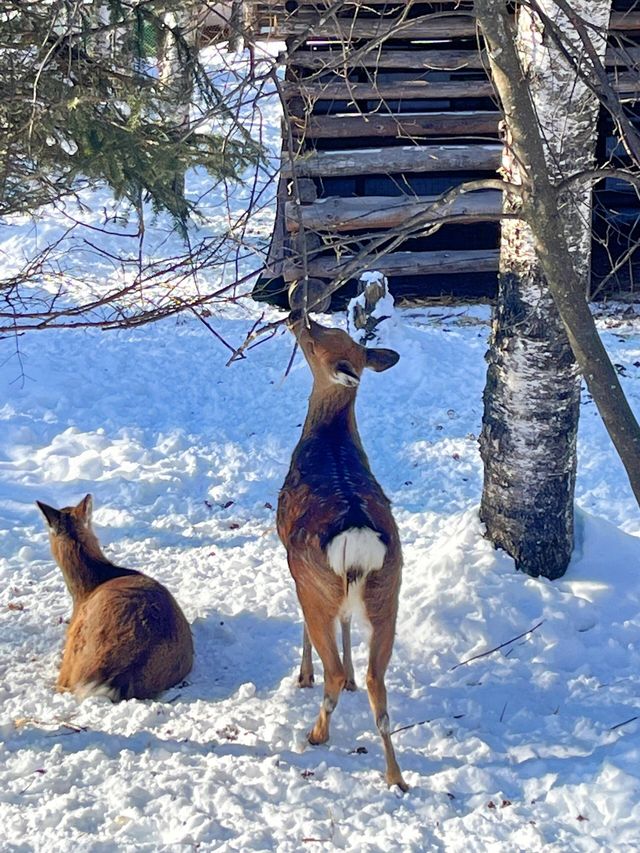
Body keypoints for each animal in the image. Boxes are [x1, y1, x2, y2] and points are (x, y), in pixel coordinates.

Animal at [278, 312, 408, 792]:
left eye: (317, 342)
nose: (298, 318)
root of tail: (357, 535)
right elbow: (349, 623)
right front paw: (350, 676)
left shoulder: (295, 569)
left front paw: (303, 675)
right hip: (389, 591)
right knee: (378, 684)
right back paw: (396, 776)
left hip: (317, 582)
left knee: (330, 660)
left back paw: (316, 732)